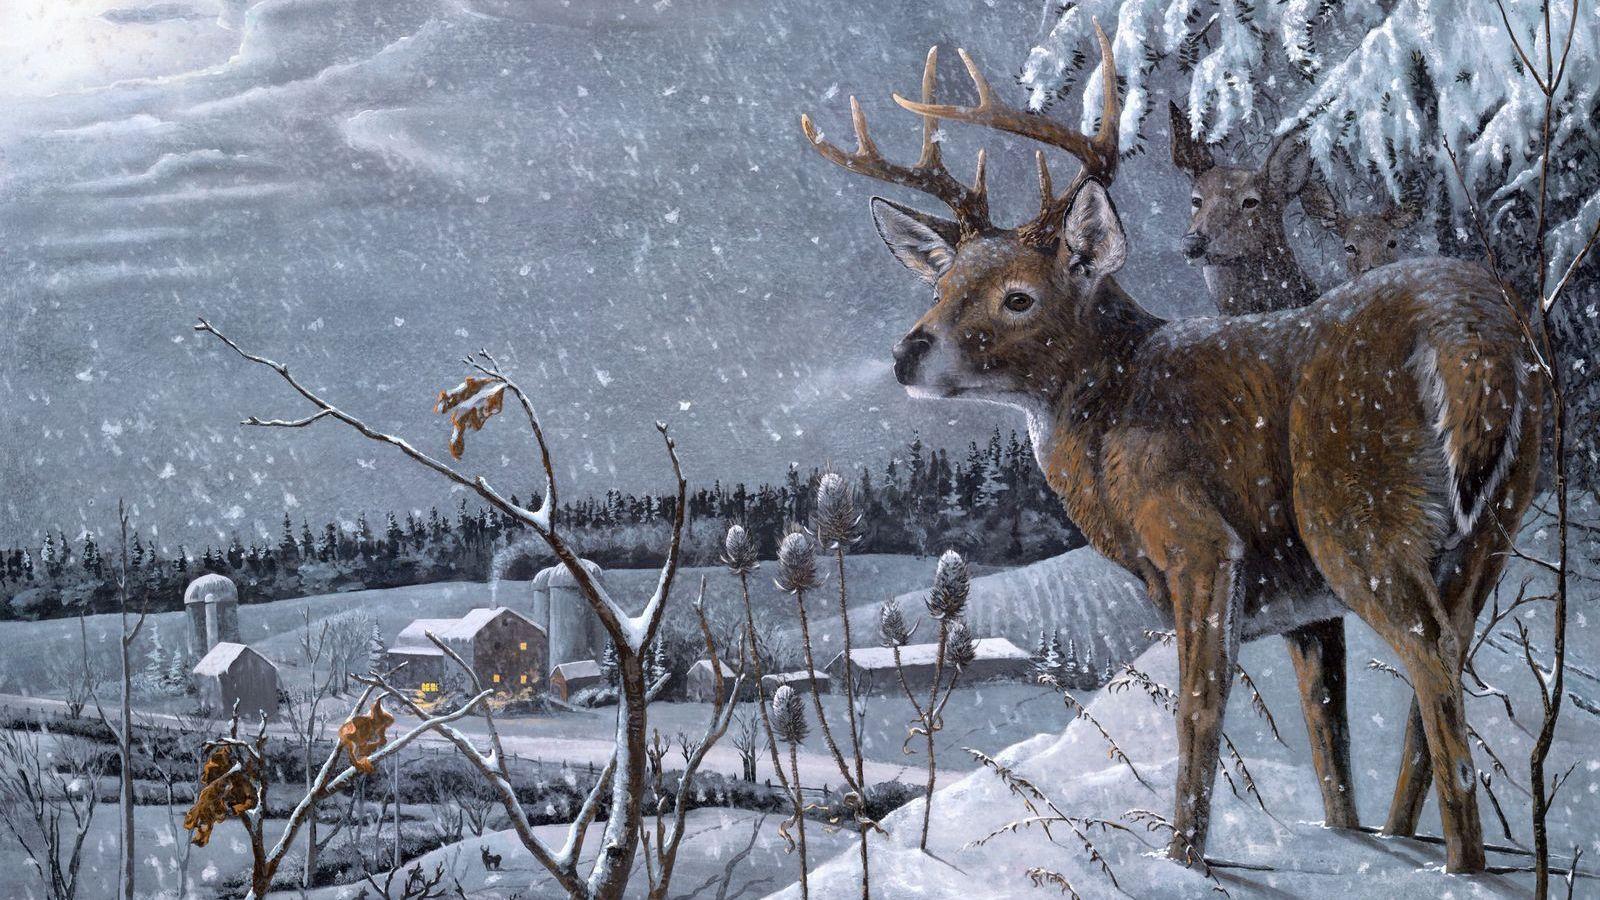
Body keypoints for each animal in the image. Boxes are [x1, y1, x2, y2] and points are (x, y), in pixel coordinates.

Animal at [800, 22, 1538, 874]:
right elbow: (1329, 740)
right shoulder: (1304, 608)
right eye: (939, 288)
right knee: (1449, 664)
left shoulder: (1201, 542)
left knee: (1434, 666)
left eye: (1018, 297)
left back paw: (1463, 868)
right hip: (1495, 522)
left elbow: (1198, 709)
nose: (906, 353)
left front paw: (1181, 857)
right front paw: (1348, 837)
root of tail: (1473, 330)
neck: (1109, 434)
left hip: (1354, 517)